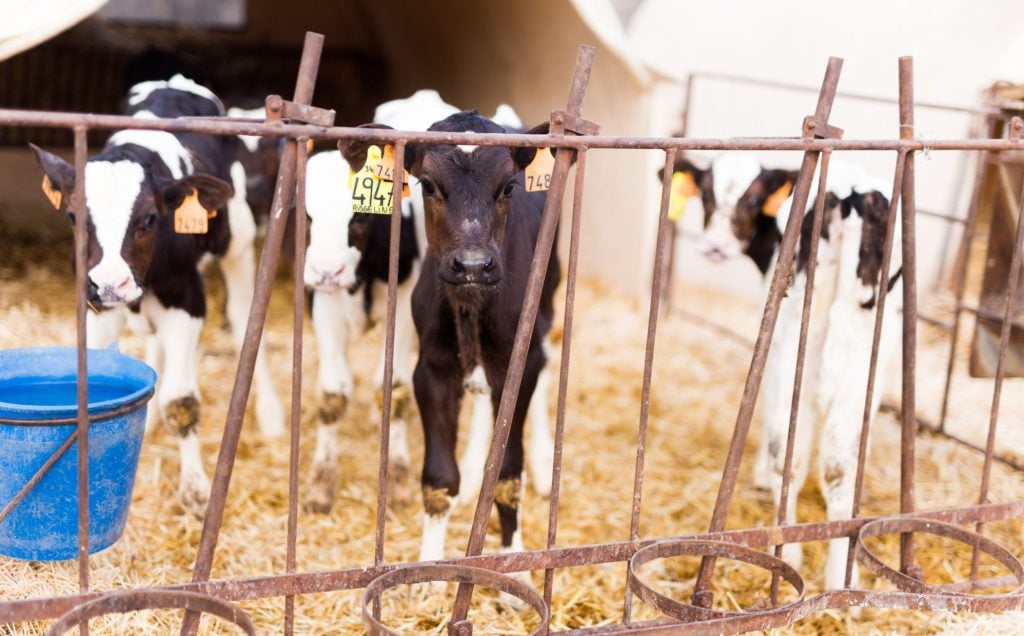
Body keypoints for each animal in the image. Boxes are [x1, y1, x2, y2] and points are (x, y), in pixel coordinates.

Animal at [30, 76, 284, 518]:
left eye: (149, 219)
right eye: (74, 217)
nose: (111, 282)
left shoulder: (186, 299)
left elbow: (181, 401)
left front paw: (196, 490)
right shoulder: (96, 308)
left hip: (239, 243)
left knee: (243, 322)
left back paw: (269, 415)